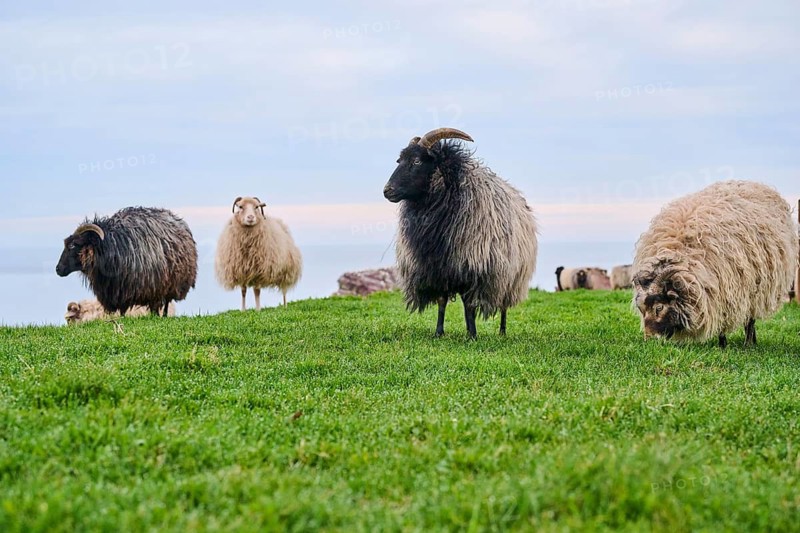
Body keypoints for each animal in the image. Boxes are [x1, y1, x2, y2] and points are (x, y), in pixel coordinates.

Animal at [56, 207, 197, 316]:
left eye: (72, 245)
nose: (58, 269)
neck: (109, 246)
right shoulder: (118, 289)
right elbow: (122, 310)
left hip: (171, 283)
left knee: (166, 303)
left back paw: (163, 316)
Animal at [383, 127, 538, 339]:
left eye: (417, 161)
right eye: (399, 161)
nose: (387, 191)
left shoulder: (472, 267)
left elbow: (469, 305)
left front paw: (472, 335)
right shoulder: (438, 268)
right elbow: (442, 301)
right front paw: (439, 332)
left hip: (509, 275)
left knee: (503, 305)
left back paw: (502, 331)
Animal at [632, 180, 799, 348]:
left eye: (659, 307)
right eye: (641, 309)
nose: (649, 340)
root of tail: (755, 184)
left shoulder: (724, 291)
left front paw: (723, 345)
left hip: (757, 289)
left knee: (750, 319)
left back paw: (748, 343)